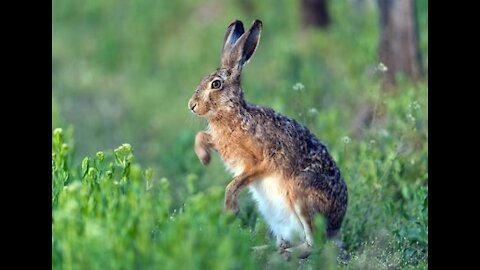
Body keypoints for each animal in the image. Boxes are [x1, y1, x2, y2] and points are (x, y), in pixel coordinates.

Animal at [186, 19, 346, 260]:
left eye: (216, 84)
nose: (192, 106)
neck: (232, 115)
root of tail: (337, 226)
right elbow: (201, 136)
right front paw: (204, 159)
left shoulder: (263, 161)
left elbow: (234, 183)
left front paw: (230, 210)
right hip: (274, 216)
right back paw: (260, 250)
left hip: (302, 192)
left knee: (314, 244)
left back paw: (283, 255)